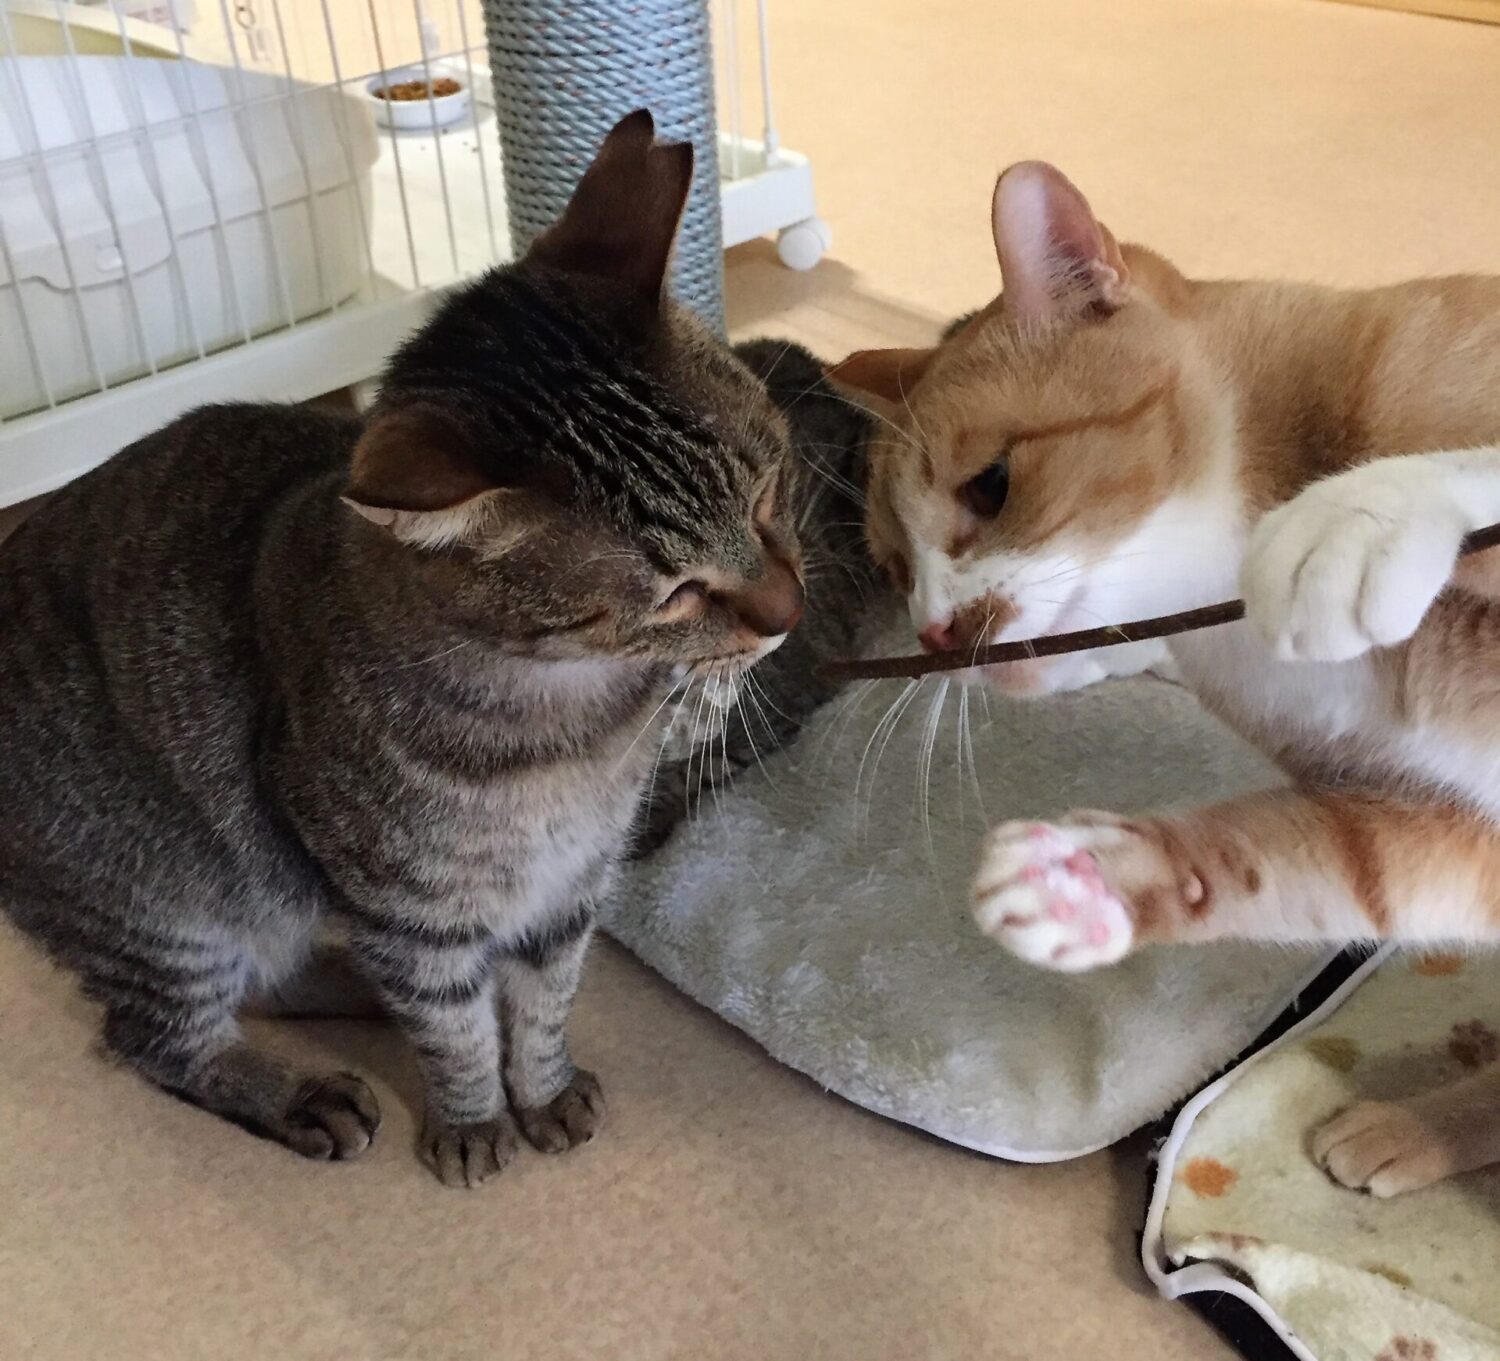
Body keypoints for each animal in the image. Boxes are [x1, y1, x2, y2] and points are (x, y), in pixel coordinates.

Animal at [0, 110, 807, 1189]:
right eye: (675, 591)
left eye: (767, 491)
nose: (788, 611)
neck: (573, 718)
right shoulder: (400, 904)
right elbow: (450, 1023)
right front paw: (471, 1120)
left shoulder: (570, 885)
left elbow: (542, 1001)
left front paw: (541, 1088)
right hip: (166, 904)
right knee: (158, 1036)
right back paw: (300, 1089)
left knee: (272, 973)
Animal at [833, 159, 1500, 1198]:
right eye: (896, 567)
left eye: (991, 485)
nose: (933, 628)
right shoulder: (1434, 831)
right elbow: (1282, 862)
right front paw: (1086, 882)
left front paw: (1363, 517)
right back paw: (1411, 1127)